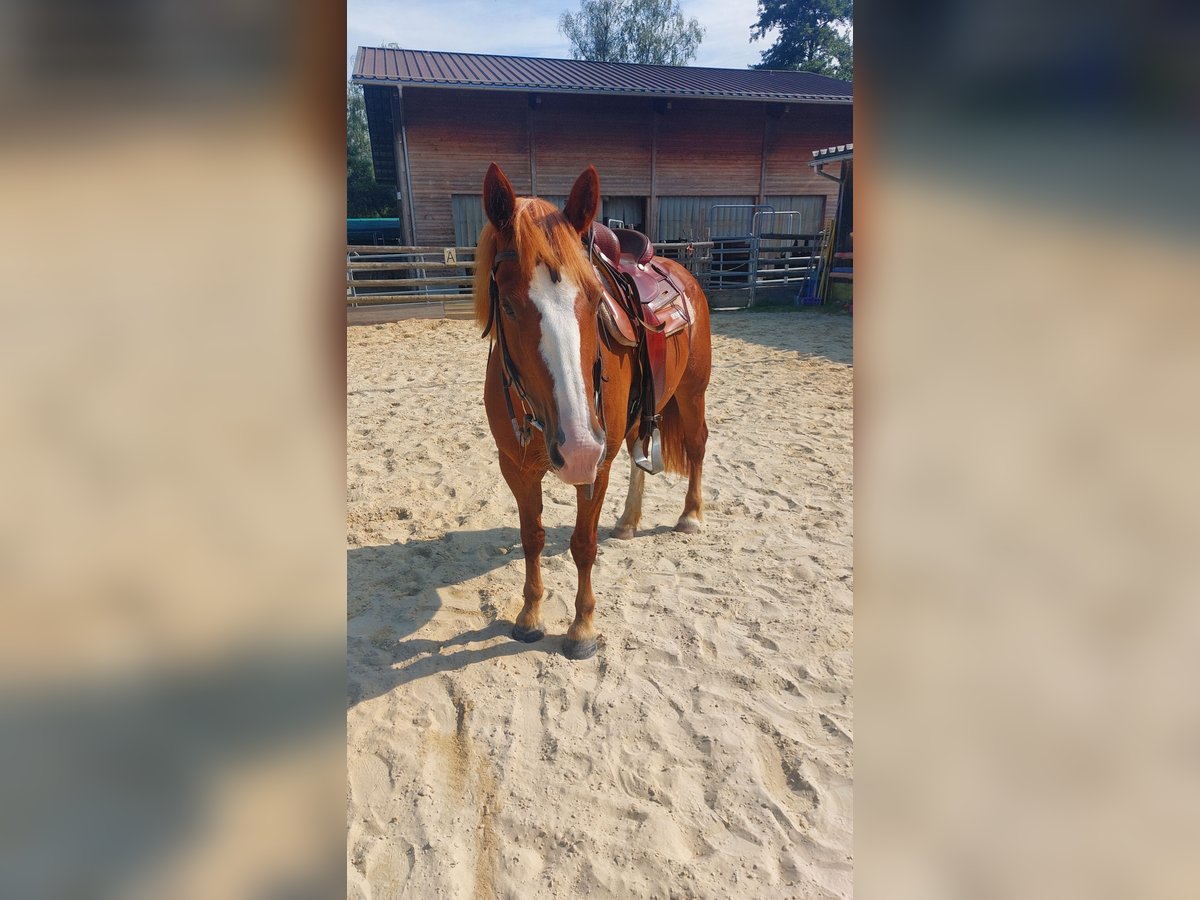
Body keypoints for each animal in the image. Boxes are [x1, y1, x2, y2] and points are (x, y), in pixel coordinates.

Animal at [473, 163, 711, 660]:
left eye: (595, 298)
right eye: (508, 304)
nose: (578, 448)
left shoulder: (596, 465)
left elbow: (583, 544)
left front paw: (582, 628)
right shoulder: (515, 467)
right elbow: (532, 537)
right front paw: (530, 615)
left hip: (691, 393)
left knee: (697, 445)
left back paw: (691, 516)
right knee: (640, 454)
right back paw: (627, 522)